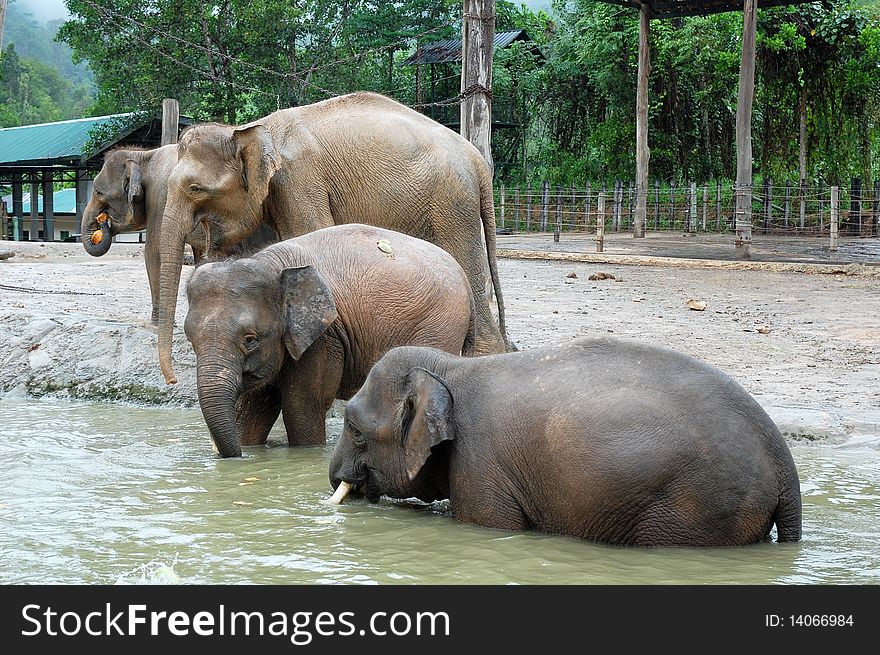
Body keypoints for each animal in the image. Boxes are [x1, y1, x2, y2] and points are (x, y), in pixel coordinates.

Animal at [81, 147, 278, 326]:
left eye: (98, 192)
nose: (102, 222)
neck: (142, 155)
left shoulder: (159, 197)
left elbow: (154, 252)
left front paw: (157, 323)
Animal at [158, 89, 508, 382]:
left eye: (195, 188)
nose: (172, 379)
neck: (249, 129)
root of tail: (478, 161)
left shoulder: (299, 180)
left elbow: (311, 230)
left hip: (451, 203)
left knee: (466, 262)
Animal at [184, 223, 474, 458]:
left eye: (250, 339)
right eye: (190, 338)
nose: (234, 457)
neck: (273, 265)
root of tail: (463, 275)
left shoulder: (324, 338)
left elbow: (301, 407)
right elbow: (255, 409)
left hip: (440, 325)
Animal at [328, 338, 804, 548]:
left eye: (354, 428)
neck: (451, 368)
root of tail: (785, 467)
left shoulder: (481, 466)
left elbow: (490, 523)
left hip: (696, 505)